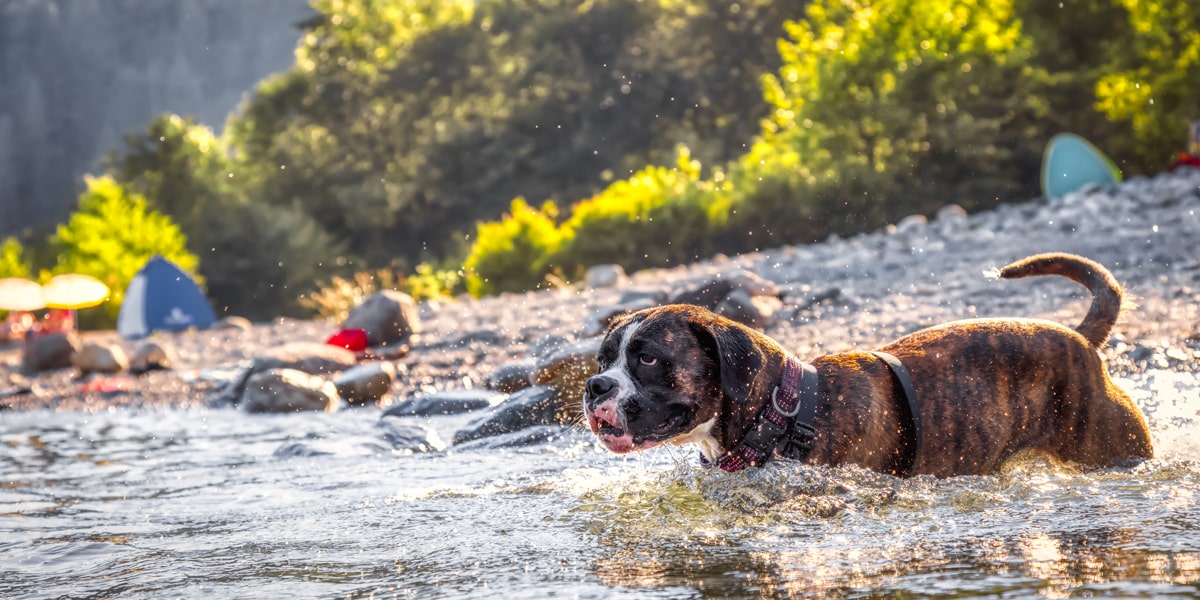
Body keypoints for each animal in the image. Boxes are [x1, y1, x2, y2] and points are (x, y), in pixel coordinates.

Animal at [580, 253, 1152, 477]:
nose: (594, 385)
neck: (784, 412)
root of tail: (1080, 341)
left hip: (1116, 449)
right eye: (604, 359)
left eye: (647, 358)